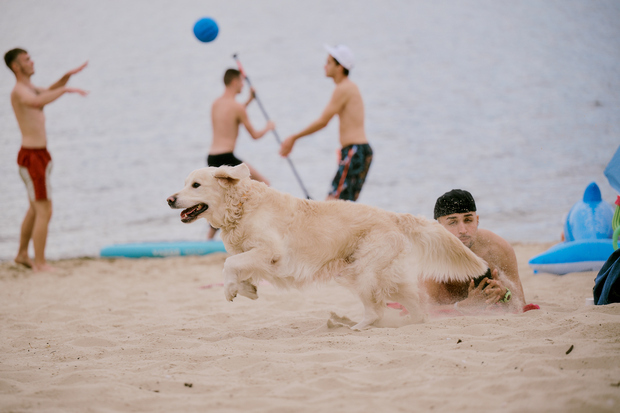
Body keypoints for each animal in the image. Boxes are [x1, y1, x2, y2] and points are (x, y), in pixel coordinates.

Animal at [168, 164, 490, 328]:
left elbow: (229, 264)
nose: (170, 199)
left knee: (377, 310)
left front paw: (231, 290)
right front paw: (246, 289)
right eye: (184, 183)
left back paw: (358, 326)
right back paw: (409, 320)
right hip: (378, 273)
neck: (242, 206)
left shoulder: (271, 251)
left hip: (362, 270)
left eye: (196, 185)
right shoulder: (253, 253)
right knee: (413, 301)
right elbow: (239, 265)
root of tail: (392, 215)